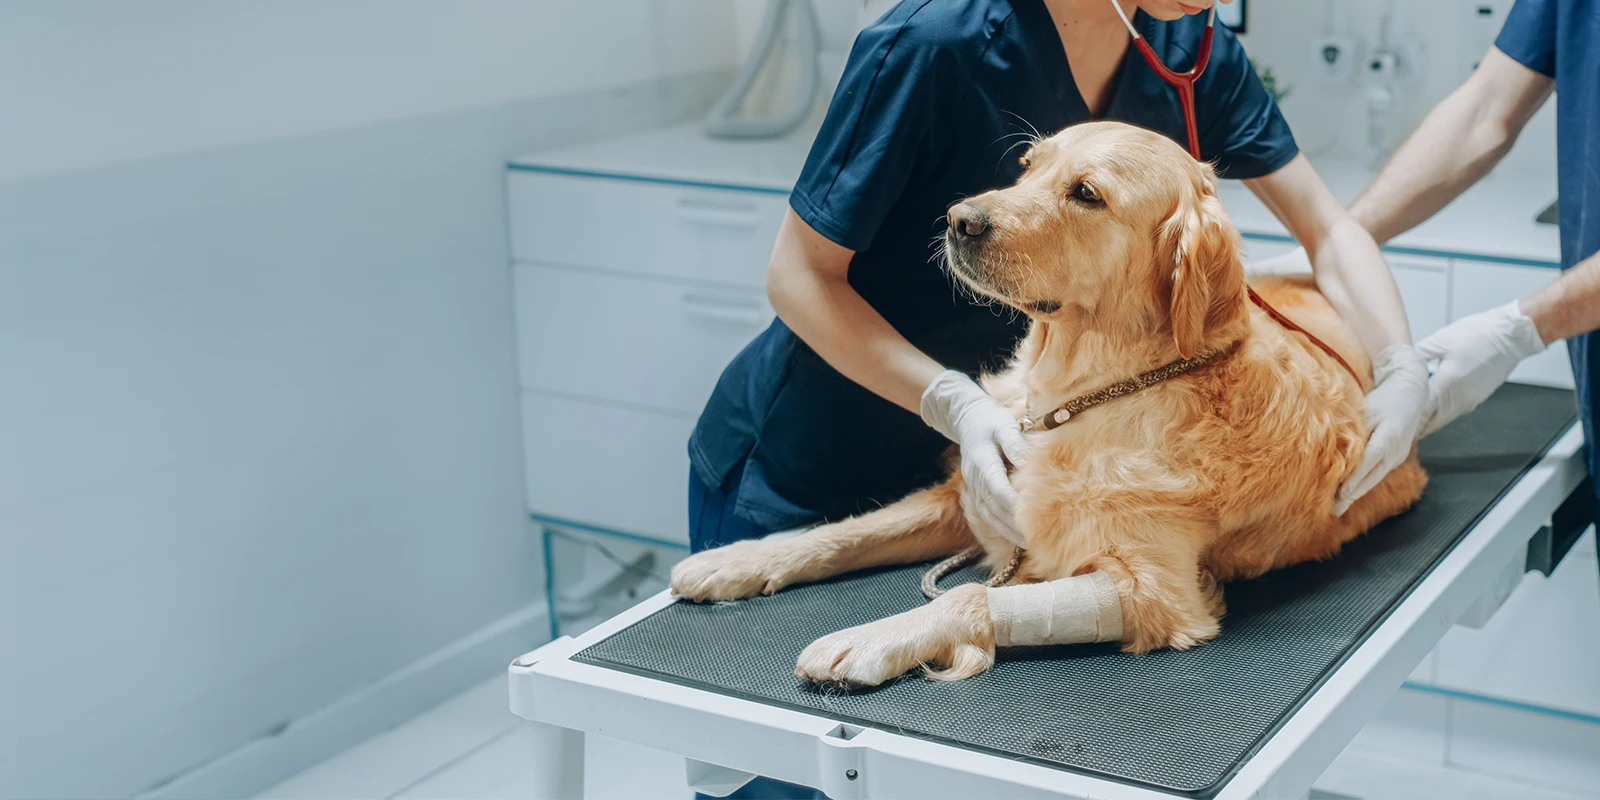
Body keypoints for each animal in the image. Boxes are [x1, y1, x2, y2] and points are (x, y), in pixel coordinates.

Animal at [668, 121, 1420, 684]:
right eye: (1026, 167)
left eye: (1086, 193)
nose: (957, 219)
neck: (1085, 396)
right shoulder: (974, 494)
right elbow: (847, 531)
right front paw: (737, 560)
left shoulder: (1157, 591)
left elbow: (972, 593)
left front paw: (871, 639)